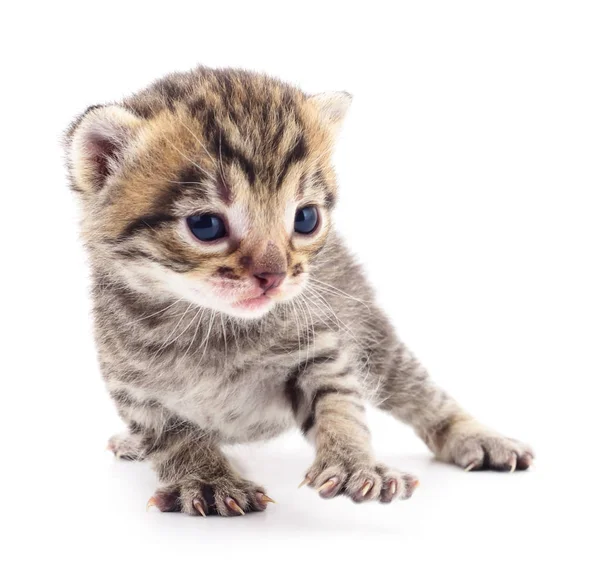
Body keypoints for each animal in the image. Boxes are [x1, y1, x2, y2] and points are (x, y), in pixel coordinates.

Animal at [67, 66, 536, 520]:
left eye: (306, 218)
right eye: (205, 225)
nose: (273, 276)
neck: (213, 323)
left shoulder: (321, 349)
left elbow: (340, 406)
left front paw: (354, 465)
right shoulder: (138, 392)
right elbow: (175, 438)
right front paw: (206, 480)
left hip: (375, 339)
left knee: (422, 394)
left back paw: (479, 437)